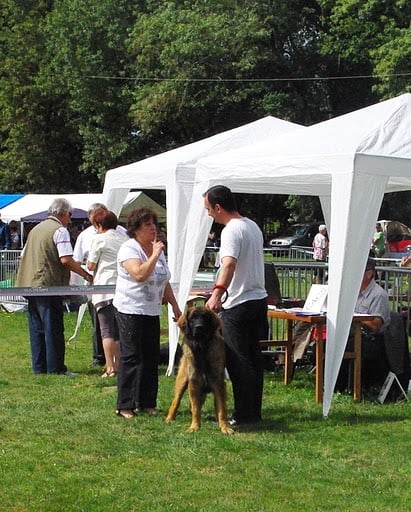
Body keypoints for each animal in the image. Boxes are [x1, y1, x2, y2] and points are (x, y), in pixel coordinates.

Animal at [165, 306, 235, 434]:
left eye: (205, 317)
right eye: (192, 318)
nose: (199, 327)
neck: (202, 348)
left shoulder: (218, 384)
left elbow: (222, 408)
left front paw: (225, 427)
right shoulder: (194, 384)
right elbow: (196, 409)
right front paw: (194, 427)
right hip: (182, 380)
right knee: (176, 400)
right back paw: (169, 418)